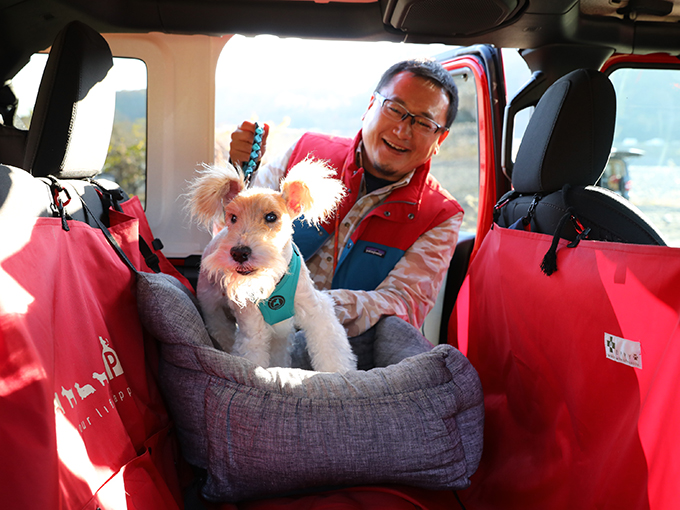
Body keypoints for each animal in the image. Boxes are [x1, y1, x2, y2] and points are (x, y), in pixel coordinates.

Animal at [186, 157, 356, 372]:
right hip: (212, 308)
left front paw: (338, 373)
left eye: (271, 217)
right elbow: (253, 356)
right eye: (233, 217)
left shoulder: (316, 311)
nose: (239, 252)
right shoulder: (252, 331)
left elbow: (331, 350)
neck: (274, 280)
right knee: (221, 330)